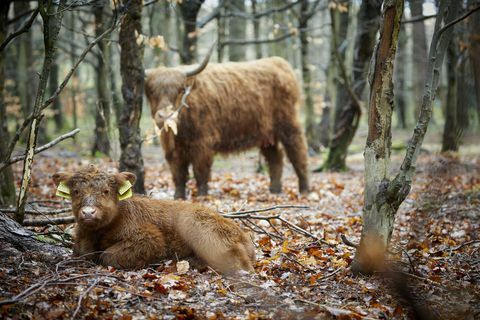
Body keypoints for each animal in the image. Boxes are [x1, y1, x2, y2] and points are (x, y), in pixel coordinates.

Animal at [52, 165, 255, 276]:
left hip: (203, 231)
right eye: (76, 191)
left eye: (106, 191)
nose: (88, 212)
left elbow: (107, 255)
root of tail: (243, 235)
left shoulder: (150, 238)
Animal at [146, 51, 310, 199]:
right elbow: (178, 173)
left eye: (180, 90)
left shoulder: (203, 143)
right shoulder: (173, 150)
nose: (165, 116)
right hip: (267, 134)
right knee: (275, 158)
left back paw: (304, 189)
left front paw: (202, 196)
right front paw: (178, 197)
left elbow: (200, 170)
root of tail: (278, 62)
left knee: (298, 153)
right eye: (152, 91)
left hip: (289, 124)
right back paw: (274, 190)